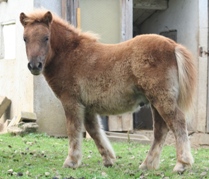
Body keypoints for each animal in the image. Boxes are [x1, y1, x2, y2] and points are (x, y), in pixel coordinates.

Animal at [19, 9, 196, 172]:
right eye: (25, 38)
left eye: (46, 38)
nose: (34, 66)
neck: (68, 54)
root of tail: (173, 45)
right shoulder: (87, 107)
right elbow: (94, 131)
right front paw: (108, 159)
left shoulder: (71, 102)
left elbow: (73, 129)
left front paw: (71, 161)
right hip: (156, 101)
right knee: (161, 130)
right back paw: (147, 165)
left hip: (162, 99)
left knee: (177, 122)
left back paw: (182, 164)